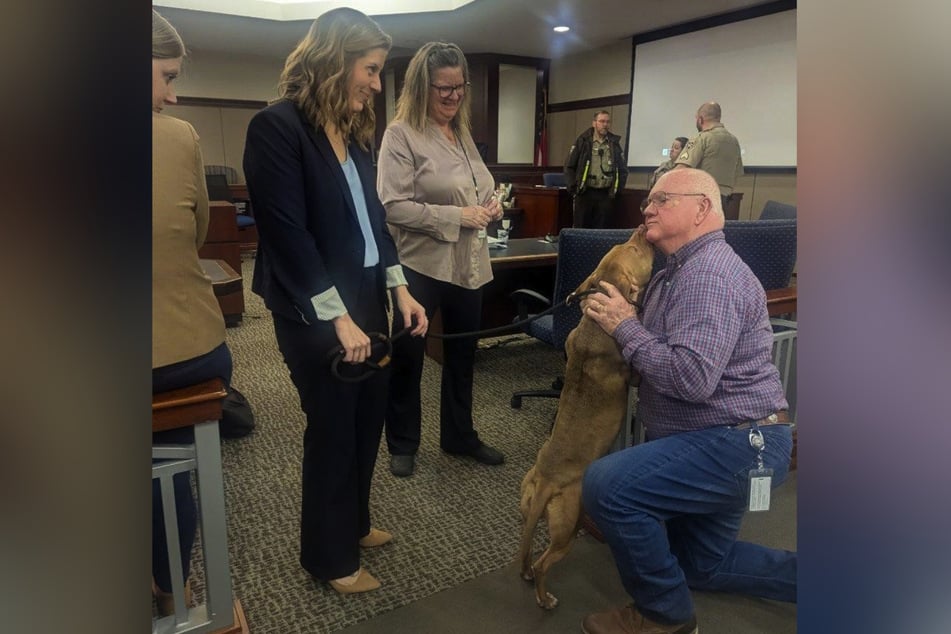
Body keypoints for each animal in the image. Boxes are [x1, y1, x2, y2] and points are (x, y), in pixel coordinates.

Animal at [520, 226, 656, 608]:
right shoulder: (635, 372)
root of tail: (545, 482)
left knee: (527, 550)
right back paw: (545, 598)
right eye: (635, 250)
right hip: (567, 528)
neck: (596, 322)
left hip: (527, 507)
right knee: (543, 563)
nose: (642, 228)